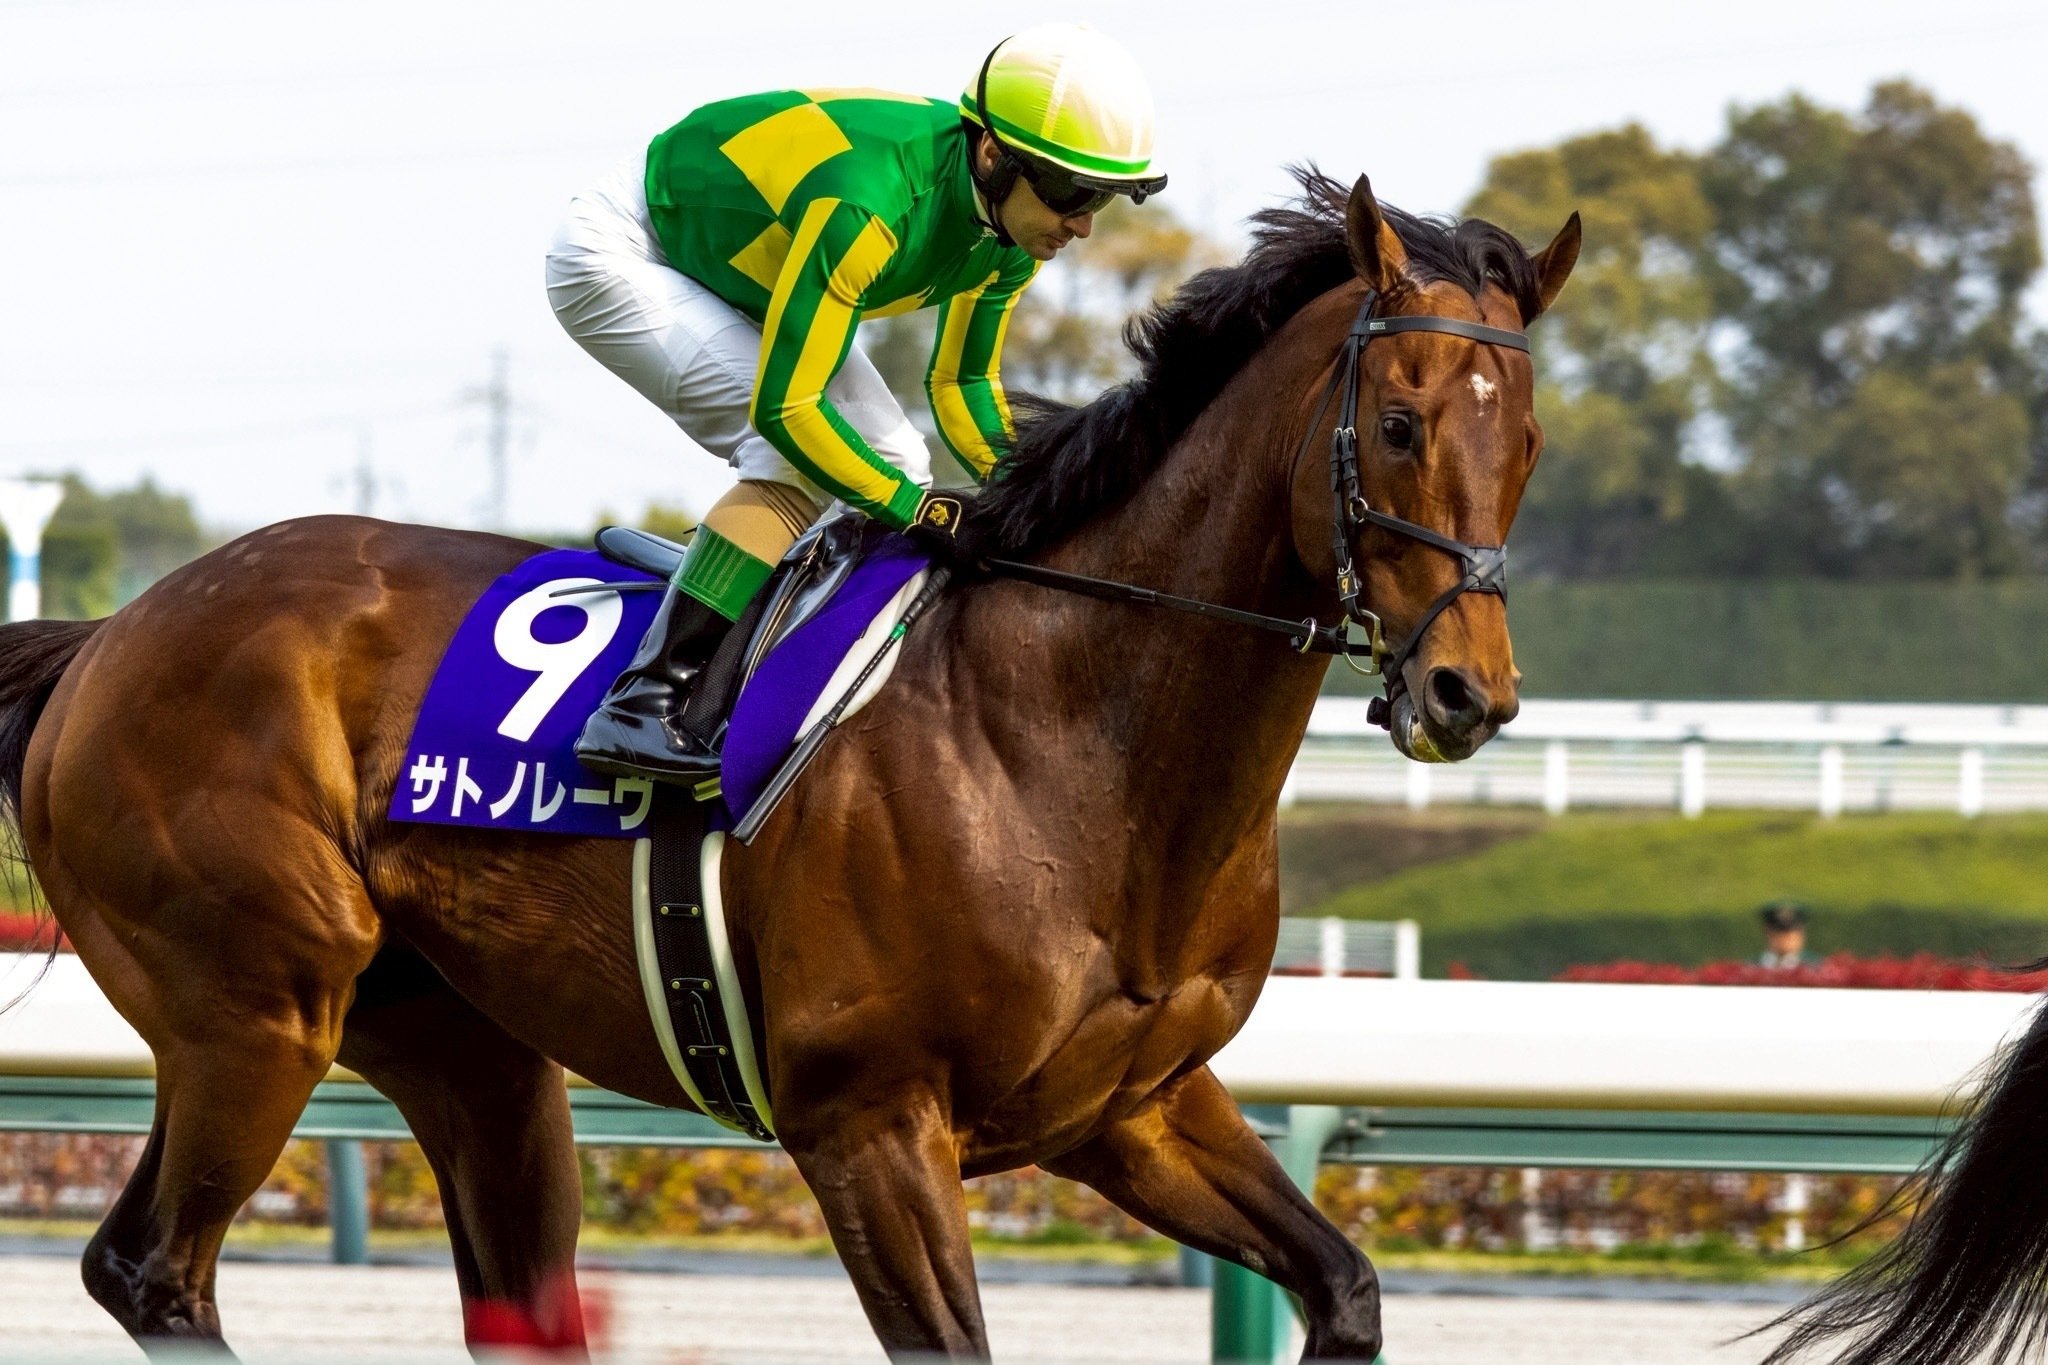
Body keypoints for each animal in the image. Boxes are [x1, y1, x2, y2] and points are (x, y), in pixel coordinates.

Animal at [0, 169, 1576, 1360]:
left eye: (1530, 444)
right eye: (1396, 423)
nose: (1468, 694)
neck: (1068, 738)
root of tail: (111, 634)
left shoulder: (1132, 1108)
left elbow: (1346, 1286)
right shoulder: (868, 1124)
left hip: (463, 1046)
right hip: (255, 1008)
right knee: (151, 1269)